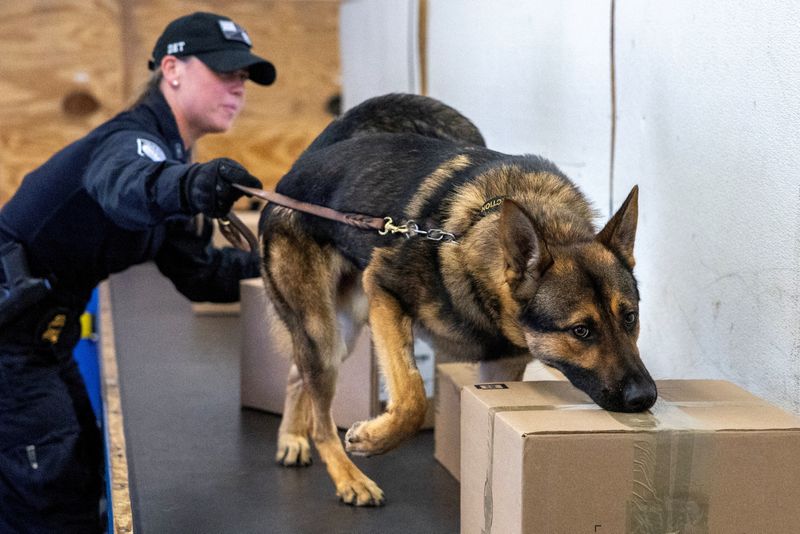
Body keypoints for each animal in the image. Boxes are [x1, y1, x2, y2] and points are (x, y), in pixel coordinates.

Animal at [260, 94, 656, 508]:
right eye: (581, 331)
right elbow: (413, 396)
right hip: (324, 333)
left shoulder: (500, 367)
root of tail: (298, 169)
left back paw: (292, 437)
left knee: (297, 375)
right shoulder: (385, 291)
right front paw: (374, 439)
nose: (645, 397)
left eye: (630, 318)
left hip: (343, 332)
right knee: (321, 418)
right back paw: (348, 477)